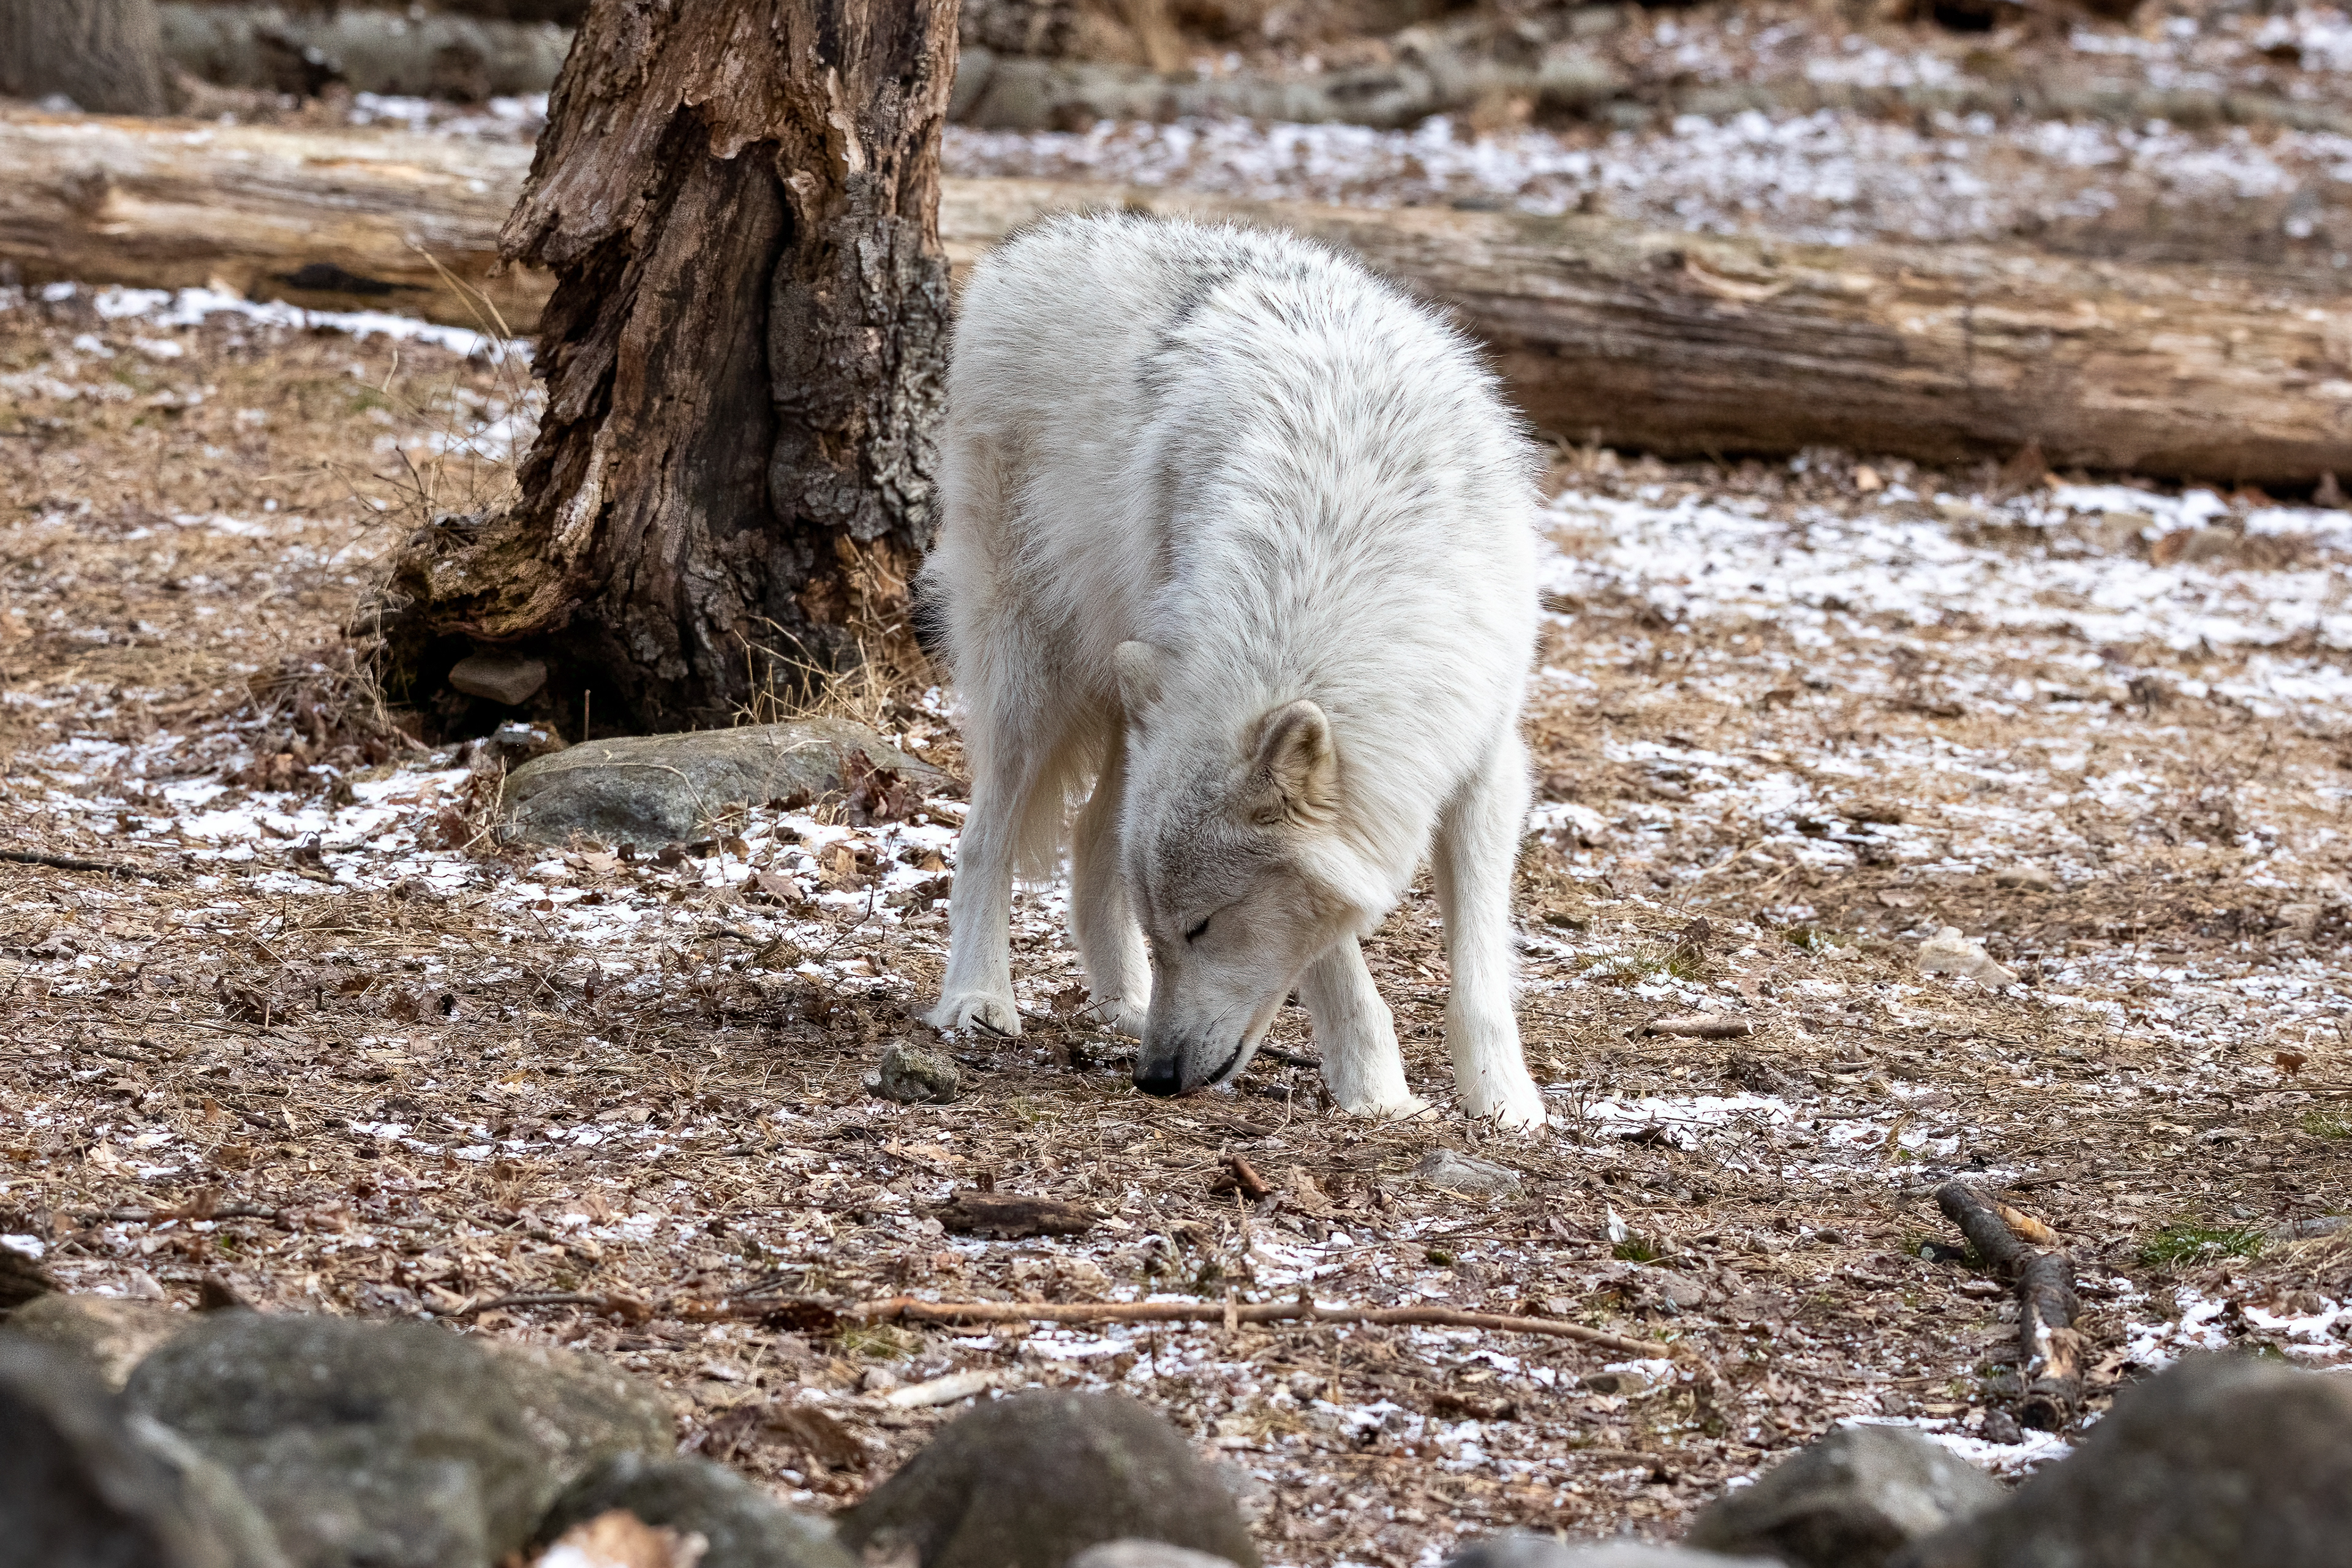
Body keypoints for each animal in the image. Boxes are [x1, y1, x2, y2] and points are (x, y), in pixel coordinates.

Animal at [918, 212, 1547, 1128]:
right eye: (1171, 929)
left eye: (1202, 929)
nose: (1155, 1077)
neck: (1347, 523)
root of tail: (1027, 246)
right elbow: (1339, 963)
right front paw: (1378, 1093)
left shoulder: (1483, 758)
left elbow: (1478, 972)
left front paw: (1505, 1102)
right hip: (1034, 680)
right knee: (982, 837)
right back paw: (977, 997)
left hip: (1136, 691)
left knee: (1091, 833)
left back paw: (1122, 1002)